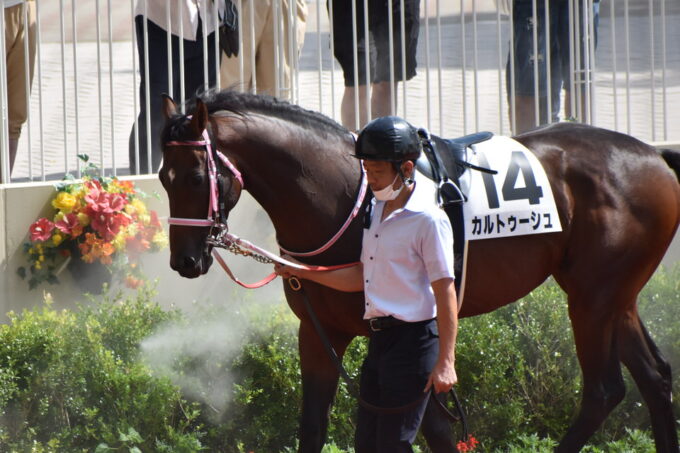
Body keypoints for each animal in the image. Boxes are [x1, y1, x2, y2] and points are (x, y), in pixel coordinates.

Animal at [158, 90, 680, 450]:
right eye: (163, 177)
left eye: (198, 177)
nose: (184, 261)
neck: (344, 194)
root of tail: (652, 154)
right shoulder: (320, 331)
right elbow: (313, 426)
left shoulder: (412, 342)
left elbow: (433, 430)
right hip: (613, 296)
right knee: (654, 378)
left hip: (592, 298)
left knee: (603, 390)